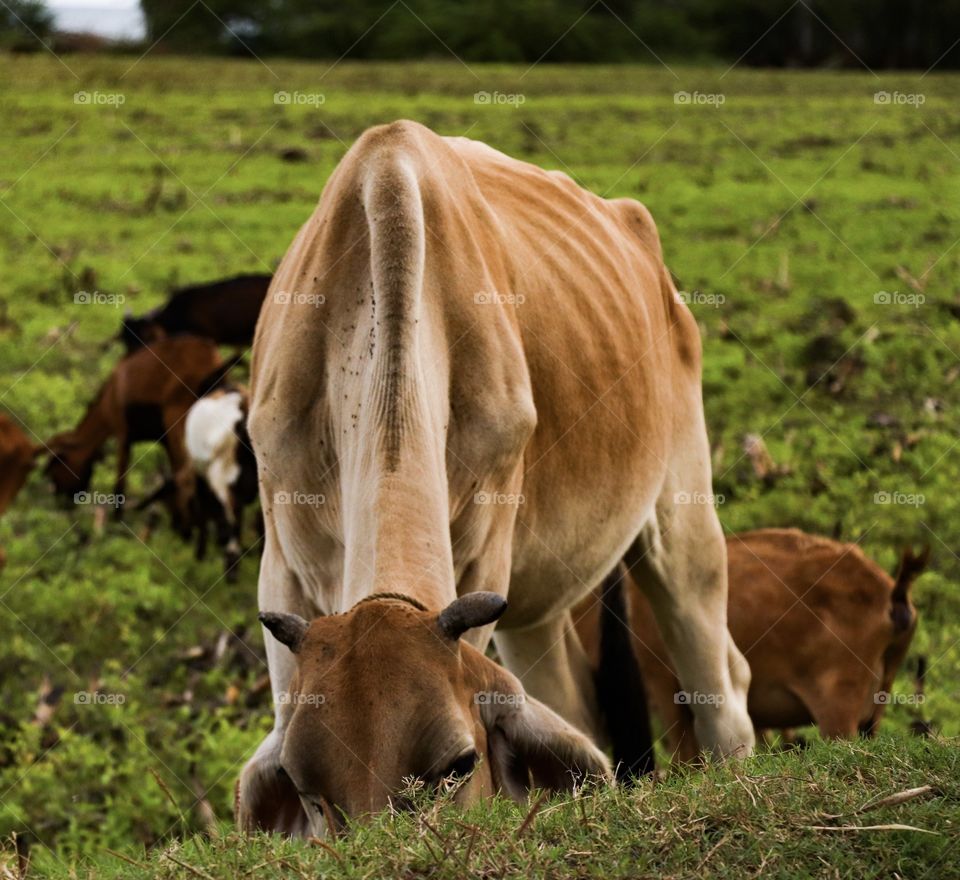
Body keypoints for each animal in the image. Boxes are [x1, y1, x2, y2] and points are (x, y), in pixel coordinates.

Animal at [44, 336, 223, 523]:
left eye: (54, 469)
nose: (63, 504)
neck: (107, 400)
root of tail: (212, 357)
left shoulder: (123, 434)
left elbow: (120, 483)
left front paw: (116, 522)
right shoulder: (163, 441)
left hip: (178, 416)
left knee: (188, 476)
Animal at [237, 120, 754, 834]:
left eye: (458, 765)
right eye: (299, 780)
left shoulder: (483, 558)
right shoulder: (283, 567)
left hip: (682, 516)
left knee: (721, 686)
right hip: (537, 605)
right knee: (575, 698)